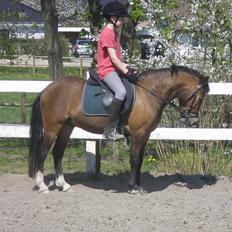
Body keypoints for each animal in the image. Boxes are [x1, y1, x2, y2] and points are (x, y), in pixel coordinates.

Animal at [28, 64, 209, 193]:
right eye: (200, 97)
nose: (192, 120)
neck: (149, 93)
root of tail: (47, 89)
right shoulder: (138, 134)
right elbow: (134, 159)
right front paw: (132, 187)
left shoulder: (145, 135)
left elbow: (140, 160)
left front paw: (138, 185)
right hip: (52, 128)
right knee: (43, 153)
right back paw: (42, 186)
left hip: (67, 127)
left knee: (58, 153)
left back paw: (63, 184)